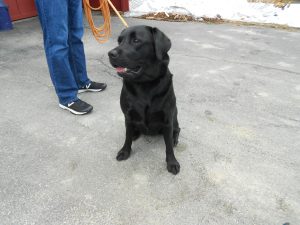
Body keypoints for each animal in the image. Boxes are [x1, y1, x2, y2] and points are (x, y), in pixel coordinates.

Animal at [109, 25, 182, 175]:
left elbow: (168, 147)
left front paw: (172, 162)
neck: (145, 84)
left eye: (136, 40)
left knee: (177, 130)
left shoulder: (167, 120)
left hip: (175, 117)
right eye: (119, 41)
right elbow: (127, 137)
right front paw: (125, 151)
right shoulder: (128, 116)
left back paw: (174, 138)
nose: (110, 54)